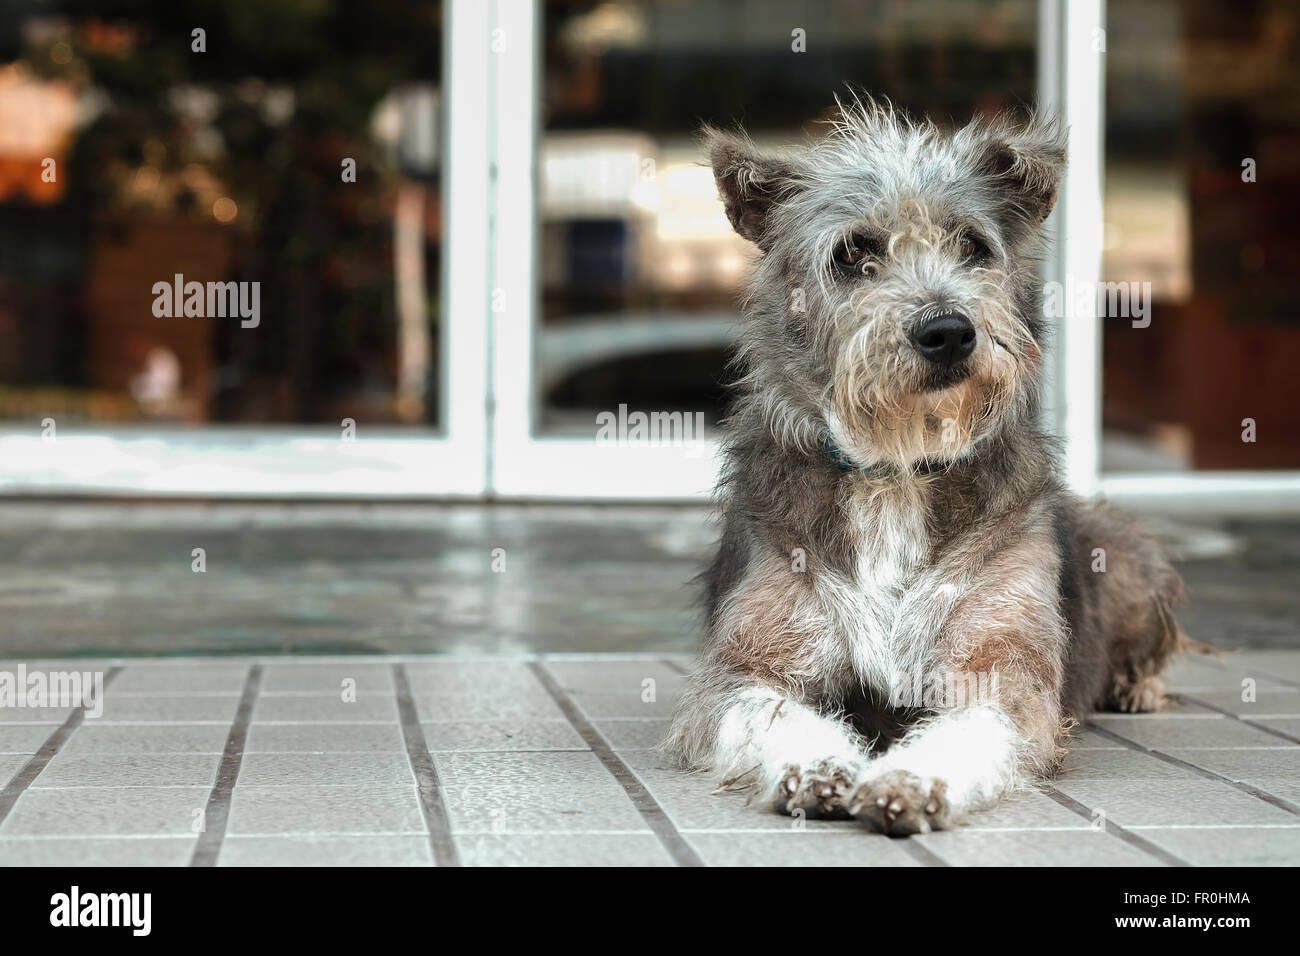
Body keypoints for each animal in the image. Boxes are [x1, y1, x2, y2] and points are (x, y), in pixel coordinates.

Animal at [665, 93, 1201, 832]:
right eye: (853, 253)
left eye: (972, 245)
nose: (947, 332)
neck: (898, 471)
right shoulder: (746, 668)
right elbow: (770, 712)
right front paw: (819, 765)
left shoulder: (1000, 668)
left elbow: (967, 729)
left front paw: (909, 780)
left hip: (1125, 558)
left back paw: (1138, 686)